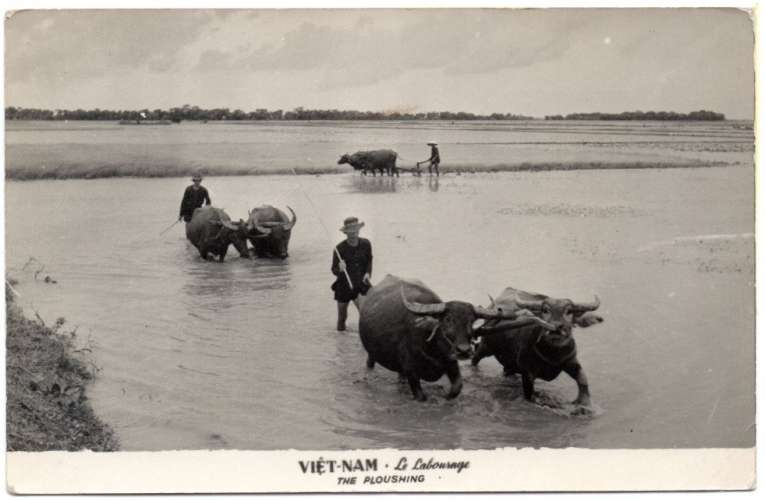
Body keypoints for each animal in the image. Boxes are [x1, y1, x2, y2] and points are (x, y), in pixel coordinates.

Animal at [358, 276, 548, 400]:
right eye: (448, 320)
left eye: (471, 321)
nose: (464, 351)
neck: (431, 347)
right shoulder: (411, 370)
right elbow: (421, 396)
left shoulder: (451, 363)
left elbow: (457, 388)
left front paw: (446, 395)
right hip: (371, 354)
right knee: (370, 363)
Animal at [472, 286, 604, 406]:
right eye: (545, 310)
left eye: (569, 311)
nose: (557, 327)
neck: (553, 353)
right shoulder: (527, 372)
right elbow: (529, 394)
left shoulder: (570, 360)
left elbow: (582, 379)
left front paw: (584, 404)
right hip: (485, 347)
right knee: (475, 358)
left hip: (509, 363)